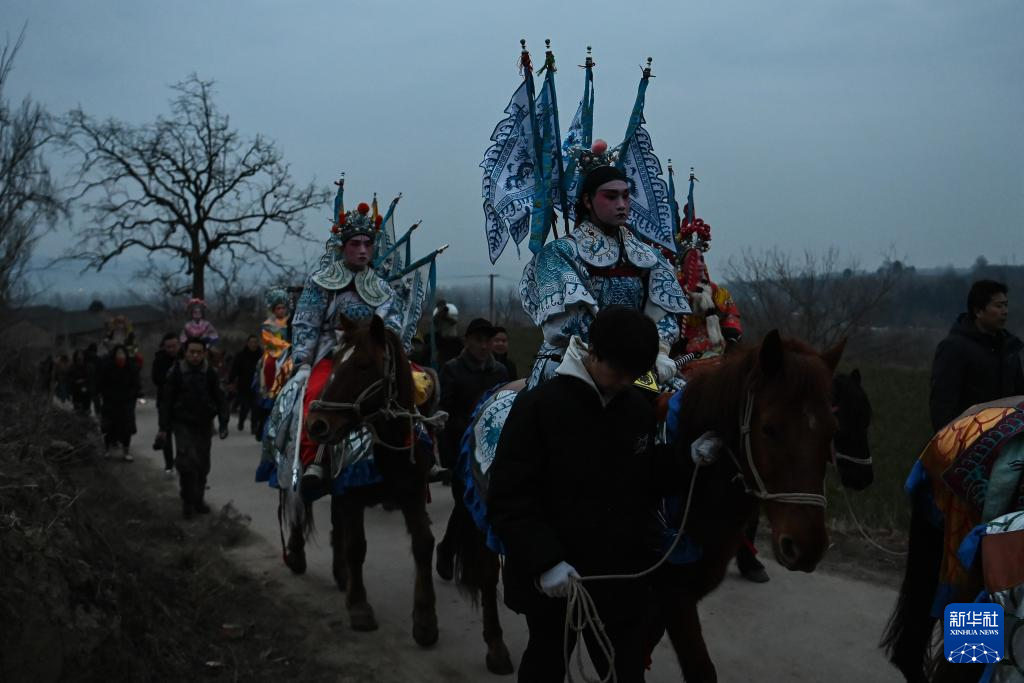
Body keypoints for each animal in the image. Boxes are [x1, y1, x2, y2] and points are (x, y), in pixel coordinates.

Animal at [294, 315, 442, 647]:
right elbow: (356, 546)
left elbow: (424, 544)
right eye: (335, 360)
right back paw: (294, 555)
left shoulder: (412, 492)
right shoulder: (353, 493)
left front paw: (426, 621)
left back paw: (341, 574)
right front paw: (359, 607)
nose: (316, 424)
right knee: (296, 504)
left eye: (363, 364)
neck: (388, 442)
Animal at [448, 331, 847, 679]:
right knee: (487, 578)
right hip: (484, 522)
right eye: (769, 428)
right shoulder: (672, 595)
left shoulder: (660, 596)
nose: (806, 547)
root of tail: (498, 389)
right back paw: (496, 649)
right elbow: (697, 668)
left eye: (832, 430)